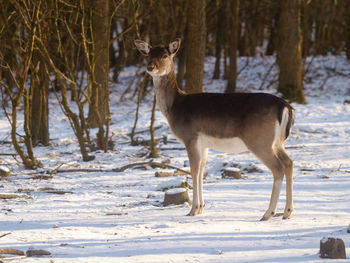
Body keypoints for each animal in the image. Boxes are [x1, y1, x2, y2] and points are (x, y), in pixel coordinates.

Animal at [135, 38, 294, 221]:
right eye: (148, 55)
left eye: (165, 55)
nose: (150, 67)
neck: (175, 107)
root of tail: (286, 107)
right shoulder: (204, 145)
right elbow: (200, 172)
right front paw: (200, 208)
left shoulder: (190, 137)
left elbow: (193, 171)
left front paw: (192, 210)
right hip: (278, 143)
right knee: (289, 163)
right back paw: (287, 212)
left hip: (260, 141)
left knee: (278, 168)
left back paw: (268, 213)